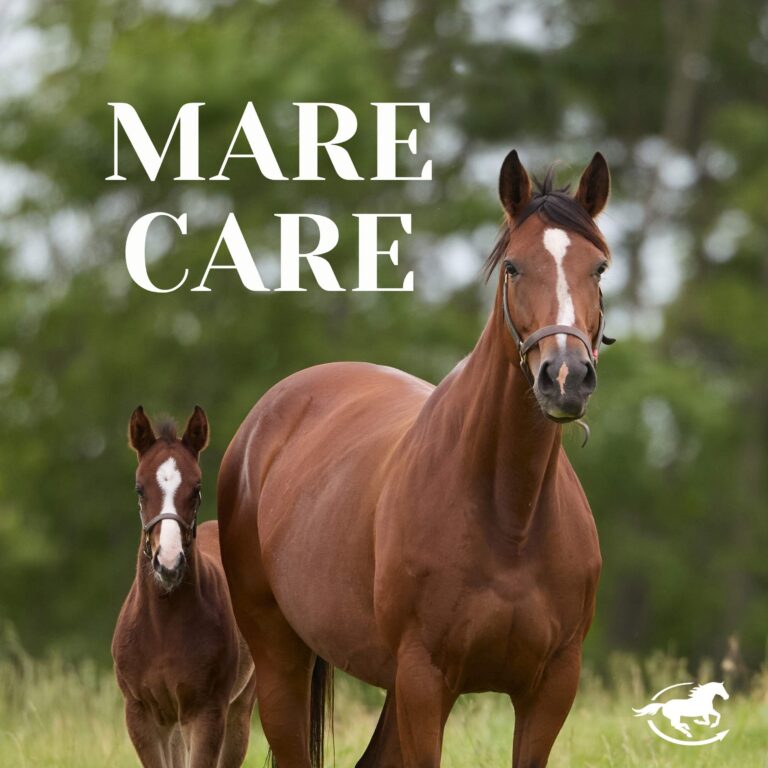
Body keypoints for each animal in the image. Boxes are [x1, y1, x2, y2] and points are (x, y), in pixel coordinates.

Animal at [113, 406, 258, 768]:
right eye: (139, 488)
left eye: (197, 487)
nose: (168, 562)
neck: (162, 627)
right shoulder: (141, 715)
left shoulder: (206, 713)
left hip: (238, 709)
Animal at [217, 149, 612, 768]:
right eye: (513, 268)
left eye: (597, 269)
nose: (566, 377)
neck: (511, 517)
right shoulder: (425, 682)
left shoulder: (550, 688)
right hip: (281, 659)